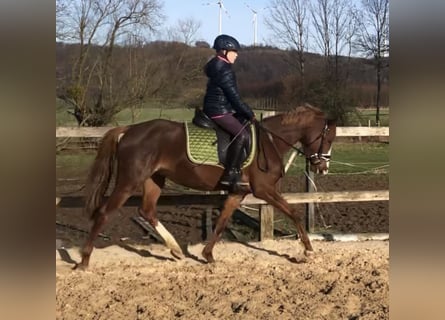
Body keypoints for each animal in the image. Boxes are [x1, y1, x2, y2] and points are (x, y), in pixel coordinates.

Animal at [73, 104, 336, 268]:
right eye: (328, 138)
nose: (322, 168)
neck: (269, 141)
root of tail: (129, 130)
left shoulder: (238, 193)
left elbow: (221, 223)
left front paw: (208, 256)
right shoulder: (264, 190)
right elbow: (293, 213)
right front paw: (308, 250)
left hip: (153, 180)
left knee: (146, 211)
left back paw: (176, 250)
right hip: (129, 182)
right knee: (104, 213)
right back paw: (85, 260)